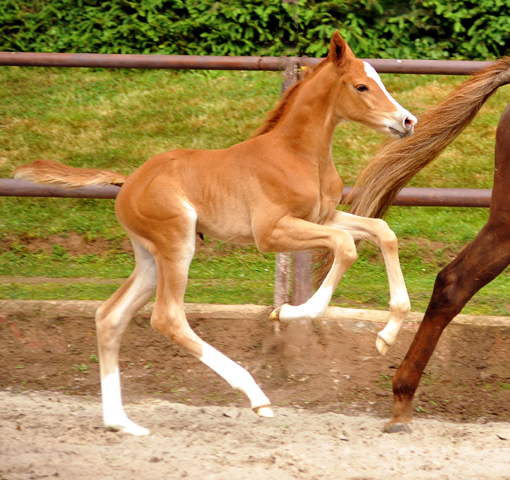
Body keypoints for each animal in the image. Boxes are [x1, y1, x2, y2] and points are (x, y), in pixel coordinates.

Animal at [11, 31, 416, 436]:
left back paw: (122, 423)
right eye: (361, 86)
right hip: (177, 245)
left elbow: (383, 232)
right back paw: (255, 396)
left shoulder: (323, 216)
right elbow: (346, 247)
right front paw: (285, 313)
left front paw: (386, 336)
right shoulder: (271, 232)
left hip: (150, 258)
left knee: (109, 316)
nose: (408, 120)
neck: (297, 154)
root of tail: (127, 183)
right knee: (167, 317)